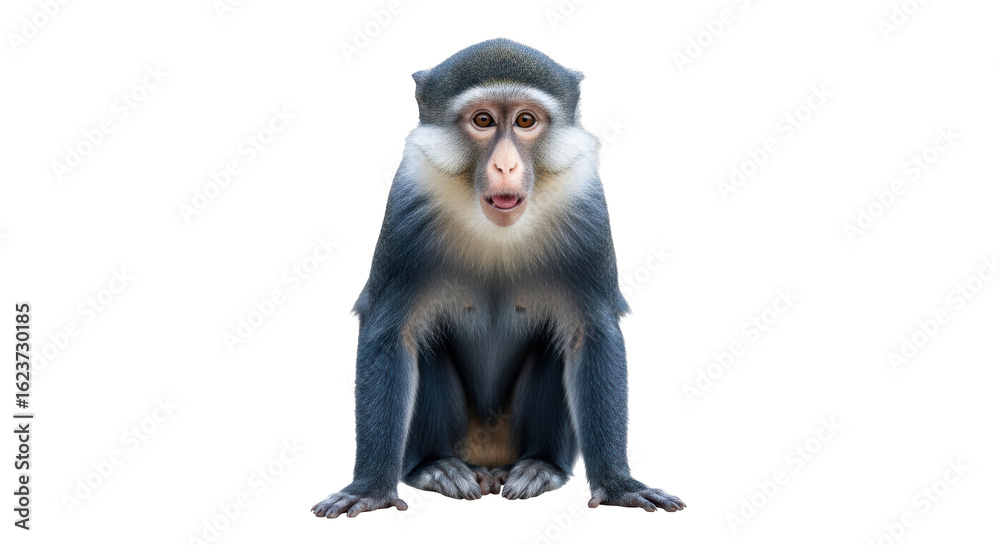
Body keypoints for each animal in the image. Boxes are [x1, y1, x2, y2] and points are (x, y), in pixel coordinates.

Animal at [312, 38, 685, 518]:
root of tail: (490, 462)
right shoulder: (407, 206)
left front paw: (619, 484)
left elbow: (593, 334)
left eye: (525, 121)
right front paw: (371, 488)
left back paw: (540, 466)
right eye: (483, 121)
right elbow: (390, 333)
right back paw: (436, 467)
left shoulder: (587, 209)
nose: (506, 167)